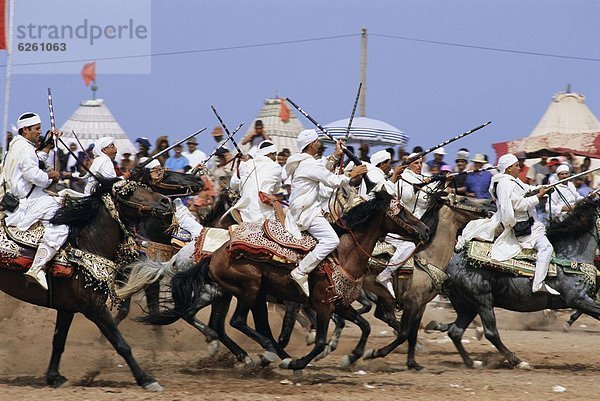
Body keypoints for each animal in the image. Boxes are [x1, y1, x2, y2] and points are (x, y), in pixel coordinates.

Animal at [0, 177, 173, 388]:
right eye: (128, 192)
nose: (165, 201)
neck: (87, 245)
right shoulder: (94, 307)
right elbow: (121, 344)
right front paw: (146, 379)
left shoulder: (67, 307)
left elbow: (59, 341)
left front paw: (54, 377)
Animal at [442, 197, 596, 368]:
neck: (570, 257)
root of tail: (450, 265)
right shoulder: (577, 299)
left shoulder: (582, 299)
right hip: (482, 301)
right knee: (490, 332)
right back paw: (518, 361)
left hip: (466, 306)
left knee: (455, 332)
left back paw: (472, 362)